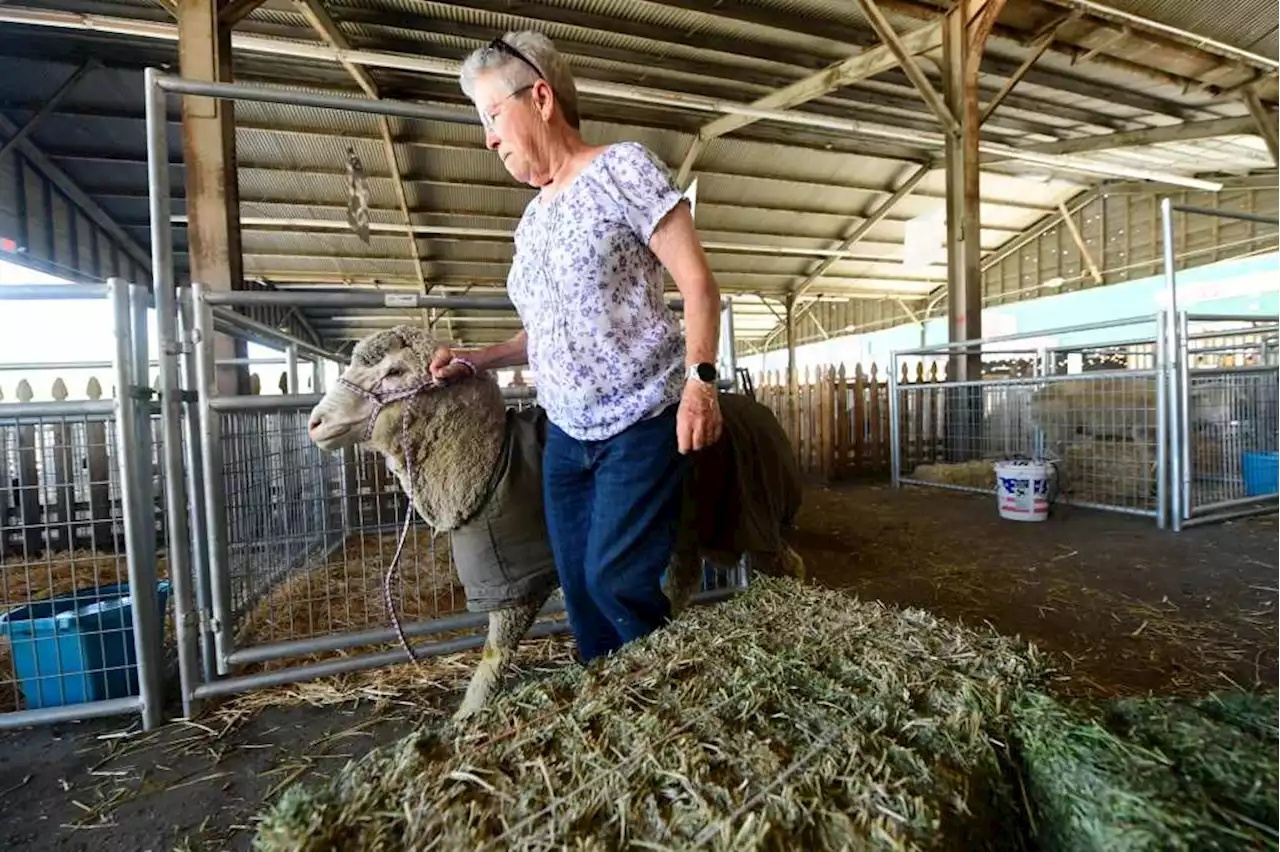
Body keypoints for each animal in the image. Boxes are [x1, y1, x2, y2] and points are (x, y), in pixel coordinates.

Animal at [308, 323, 803, 716]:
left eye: (394, 372)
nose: (315, 423)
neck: (490, 460)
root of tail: (762, 411)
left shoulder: (516, 577)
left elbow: (494, 655)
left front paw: (467, 716)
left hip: (747, 513)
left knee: (787, 559)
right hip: (691, 525)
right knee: (682, 581)